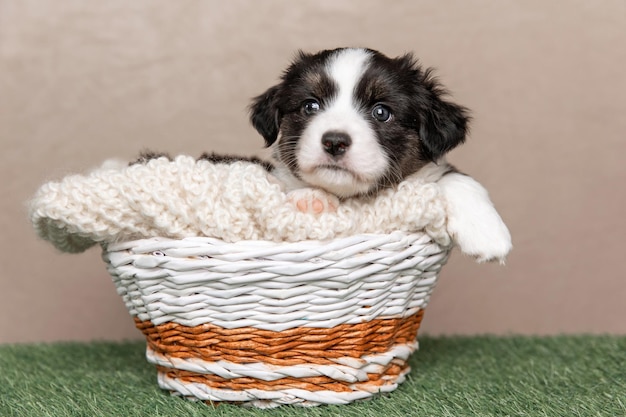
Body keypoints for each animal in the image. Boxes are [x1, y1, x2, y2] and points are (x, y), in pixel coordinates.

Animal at [246, 47, 510, 262]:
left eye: (381, 112)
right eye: (310, 106)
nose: (334, 142)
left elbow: (456, 178)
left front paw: (487, 233)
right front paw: (311, 199)